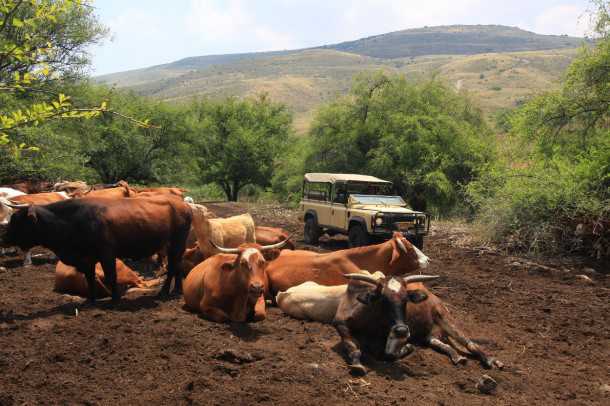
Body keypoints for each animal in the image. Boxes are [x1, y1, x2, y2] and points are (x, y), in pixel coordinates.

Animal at [0, 195, 190, 302]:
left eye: (17, 220)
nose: (3, 237)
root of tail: (183, 205)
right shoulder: (87, 259)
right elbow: (89, 278)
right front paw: (90, 300)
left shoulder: (106, 254)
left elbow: (111, 277)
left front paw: (115, 299)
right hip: (175, 247)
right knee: (177, 266)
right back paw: (177, 290)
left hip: (176, 243)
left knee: (172, 268)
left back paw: (164, 292)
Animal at [278, 276, 502, 372]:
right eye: (382, 299)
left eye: (406, 300)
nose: (402, 330)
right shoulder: (341, 326)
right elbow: (353, 347)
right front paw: (357, 364)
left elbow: (388, 354)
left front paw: (407, 348)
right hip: (430, 335)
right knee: (444, 344)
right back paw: (457, 357)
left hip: (444, 317)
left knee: (470, 343)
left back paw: (490, 359)